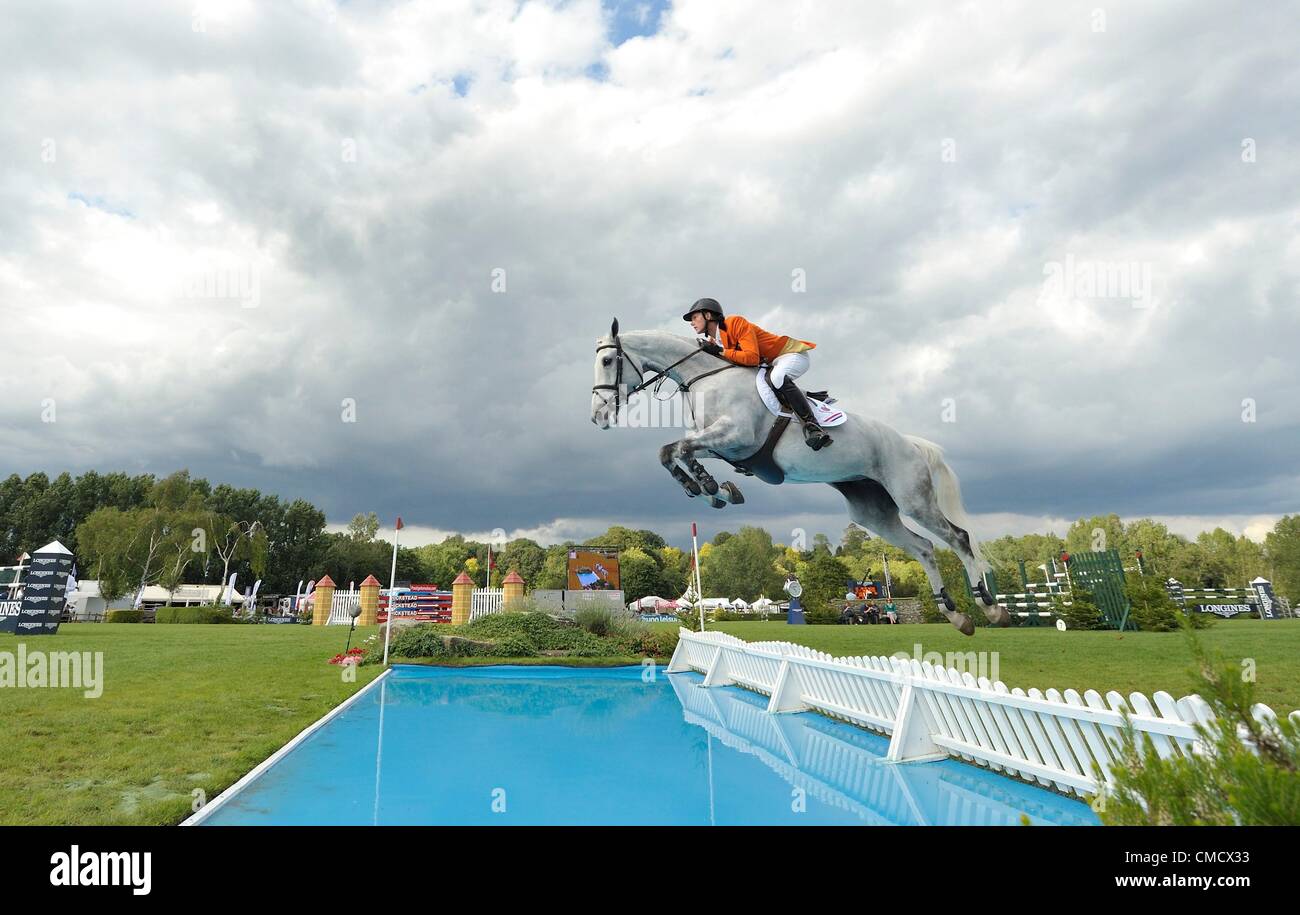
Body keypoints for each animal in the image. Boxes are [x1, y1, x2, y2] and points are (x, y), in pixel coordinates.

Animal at [590, 319, 1003, 636]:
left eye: (608, 360)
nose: (598, 416)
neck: (704, 378)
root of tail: (911, 443)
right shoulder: (723, 445)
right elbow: (674, 451)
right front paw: (713, 489)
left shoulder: (736, 435)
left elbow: (675, 449)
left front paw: (707, 486)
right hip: (872, 511)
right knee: (924, 548)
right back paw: (956, 615)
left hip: (912, 498)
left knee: (958, 538)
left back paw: (990, 607)